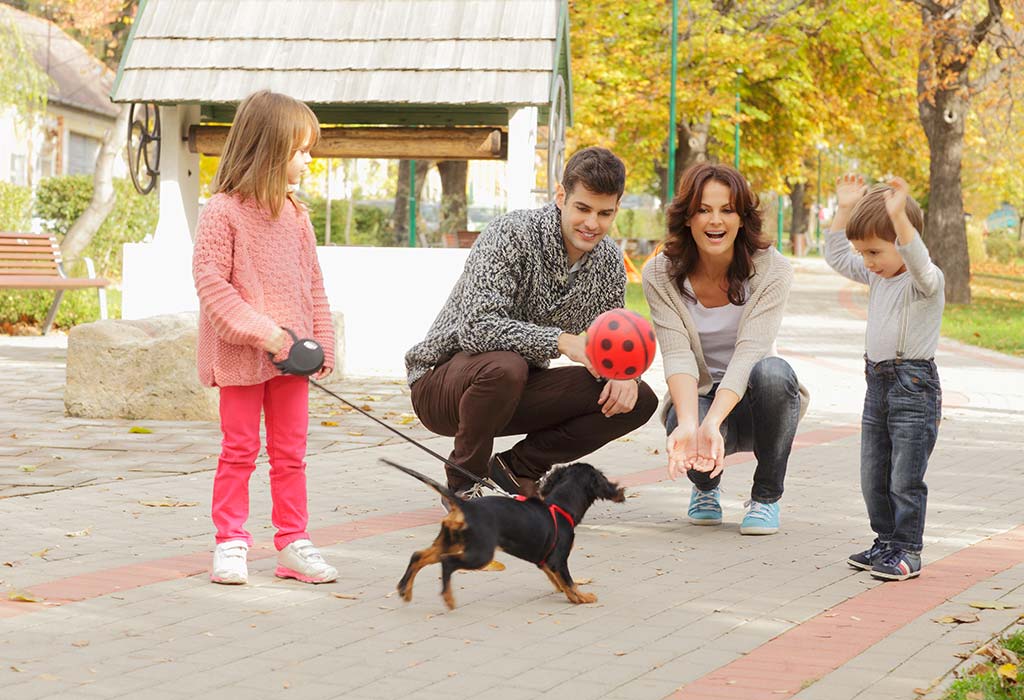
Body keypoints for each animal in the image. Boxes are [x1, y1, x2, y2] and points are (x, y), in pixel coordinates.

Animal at [385, 458, 618, 605]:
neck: (559, 507)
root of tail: (464, 506)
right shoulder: (558, 559)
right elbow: (569, 581)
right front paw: (582, 597)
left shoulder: (545, 560)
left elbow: (558, 579)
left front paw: (566, 591)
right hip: (480, 553)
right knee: (447, 562)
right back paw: (448, 598)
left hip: (450, 541)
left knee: (419, 556)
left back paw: (405, 590)